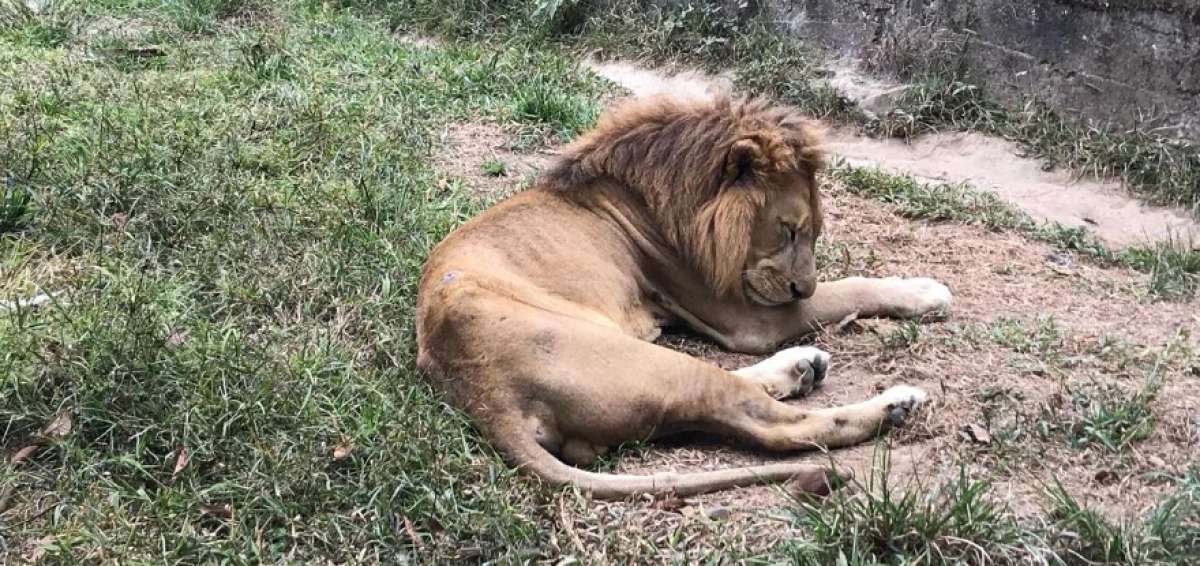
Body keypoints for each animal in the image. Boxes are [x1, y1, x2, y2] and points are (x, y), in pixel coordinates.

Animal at [416, 94, 952, 499]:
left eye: (814, 233)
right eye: (788, 230)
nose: (803, 284)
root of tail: (482, 392)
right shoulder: (746, 318)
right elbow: (845, 290)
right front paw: (925, 290)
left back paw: (803, 366)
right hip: (642, 360)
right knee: (775, 425)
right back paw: (895, 403)